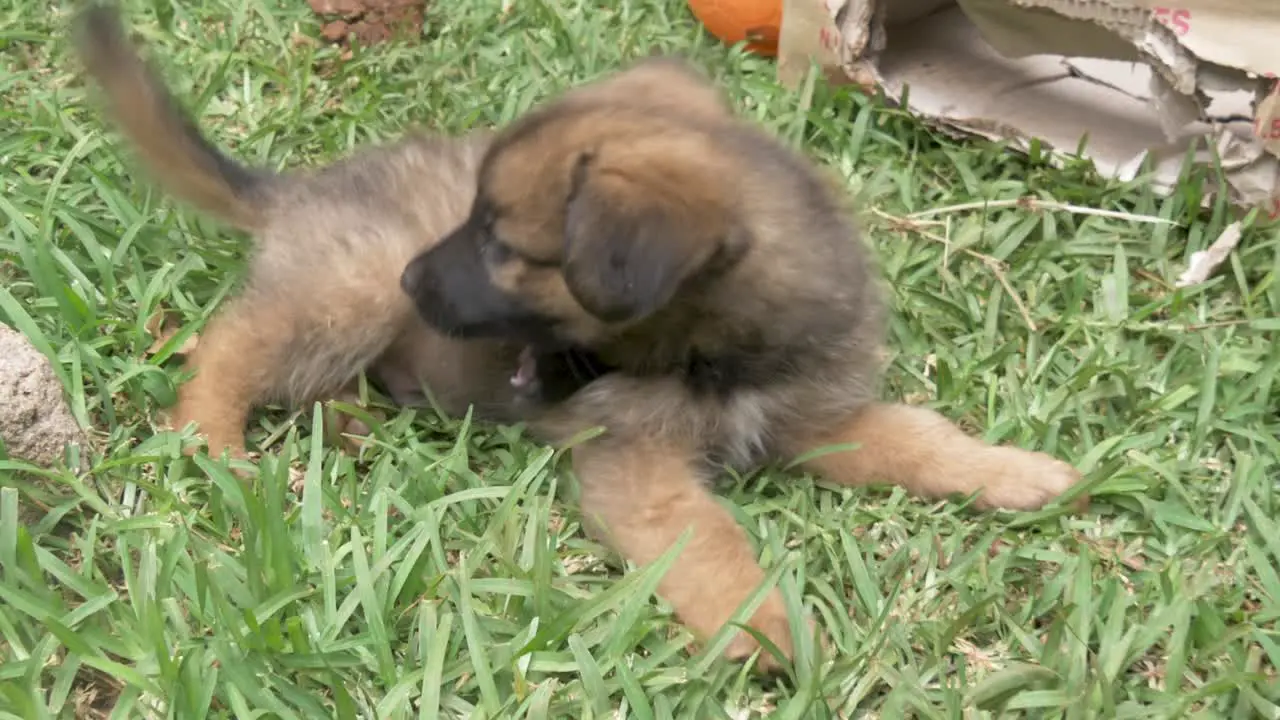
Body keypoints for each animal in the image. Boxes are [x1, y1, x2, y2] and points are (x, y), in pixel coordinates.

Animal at [77, 4, 1080, 666]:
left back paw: (349, 423)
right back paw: (211, 438)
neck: (717, 359)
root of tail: (295, 191)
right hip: (347, 292)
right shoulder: (636, 466)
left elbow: (918, 438)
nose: (416, 278)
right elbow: (708, 540)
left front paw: (1012, 472)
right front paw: (763, 625)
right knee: (230, 343)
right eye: (477, 221)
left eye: (500, 243)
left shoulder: (813, 418)